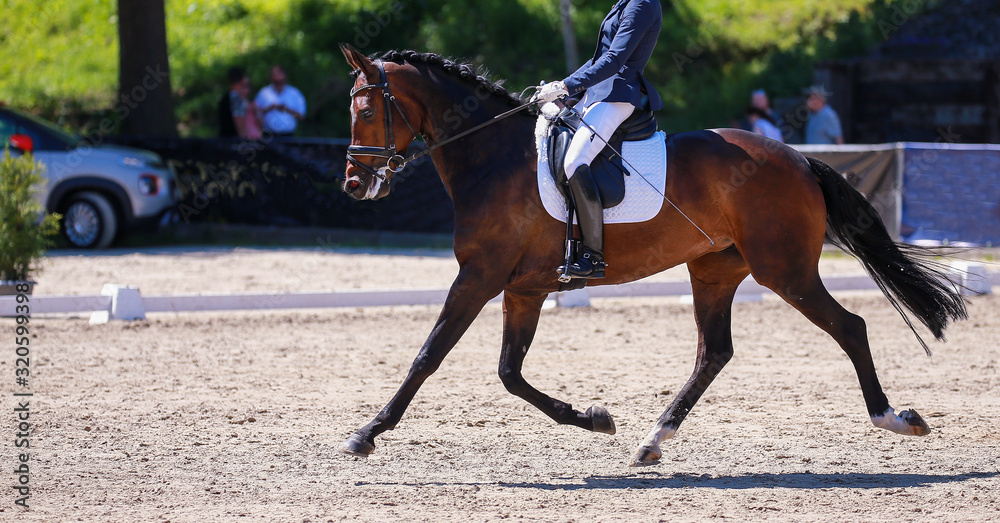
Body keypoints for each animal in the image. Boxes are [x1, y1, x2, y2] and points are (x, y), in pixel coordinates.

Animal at [335, 43, 967, 466]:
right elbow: (509, 373)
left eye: (365, 110)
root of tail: (795, 158)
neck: (493, 158)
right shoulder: (524, 287)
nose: (354, 185)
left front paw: (365, 433)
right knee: (714, 352)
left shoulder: (479, 276)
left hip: (784, 270)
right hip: (715, 270)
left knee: (850, 327)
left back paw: (895, 418)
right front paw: (594, 419)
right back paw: (651, 440)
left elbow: (428, 356)